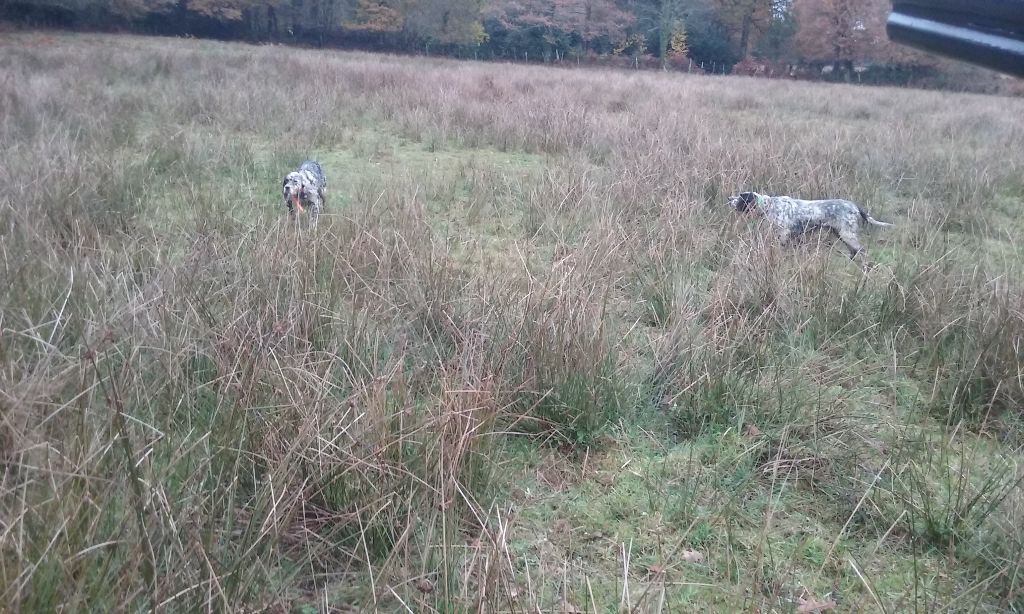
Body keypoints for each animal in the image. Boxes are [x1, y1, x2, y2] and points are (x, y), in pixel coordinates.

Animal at [733, 192, 892, 264]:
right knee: (853, 251)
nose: (729, 198)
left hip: (847, 234)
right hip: (841, 233)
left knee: (862, 251)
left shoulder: (784, 234)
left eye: (740, 197)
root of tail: (854, 206)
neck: (769, 205)